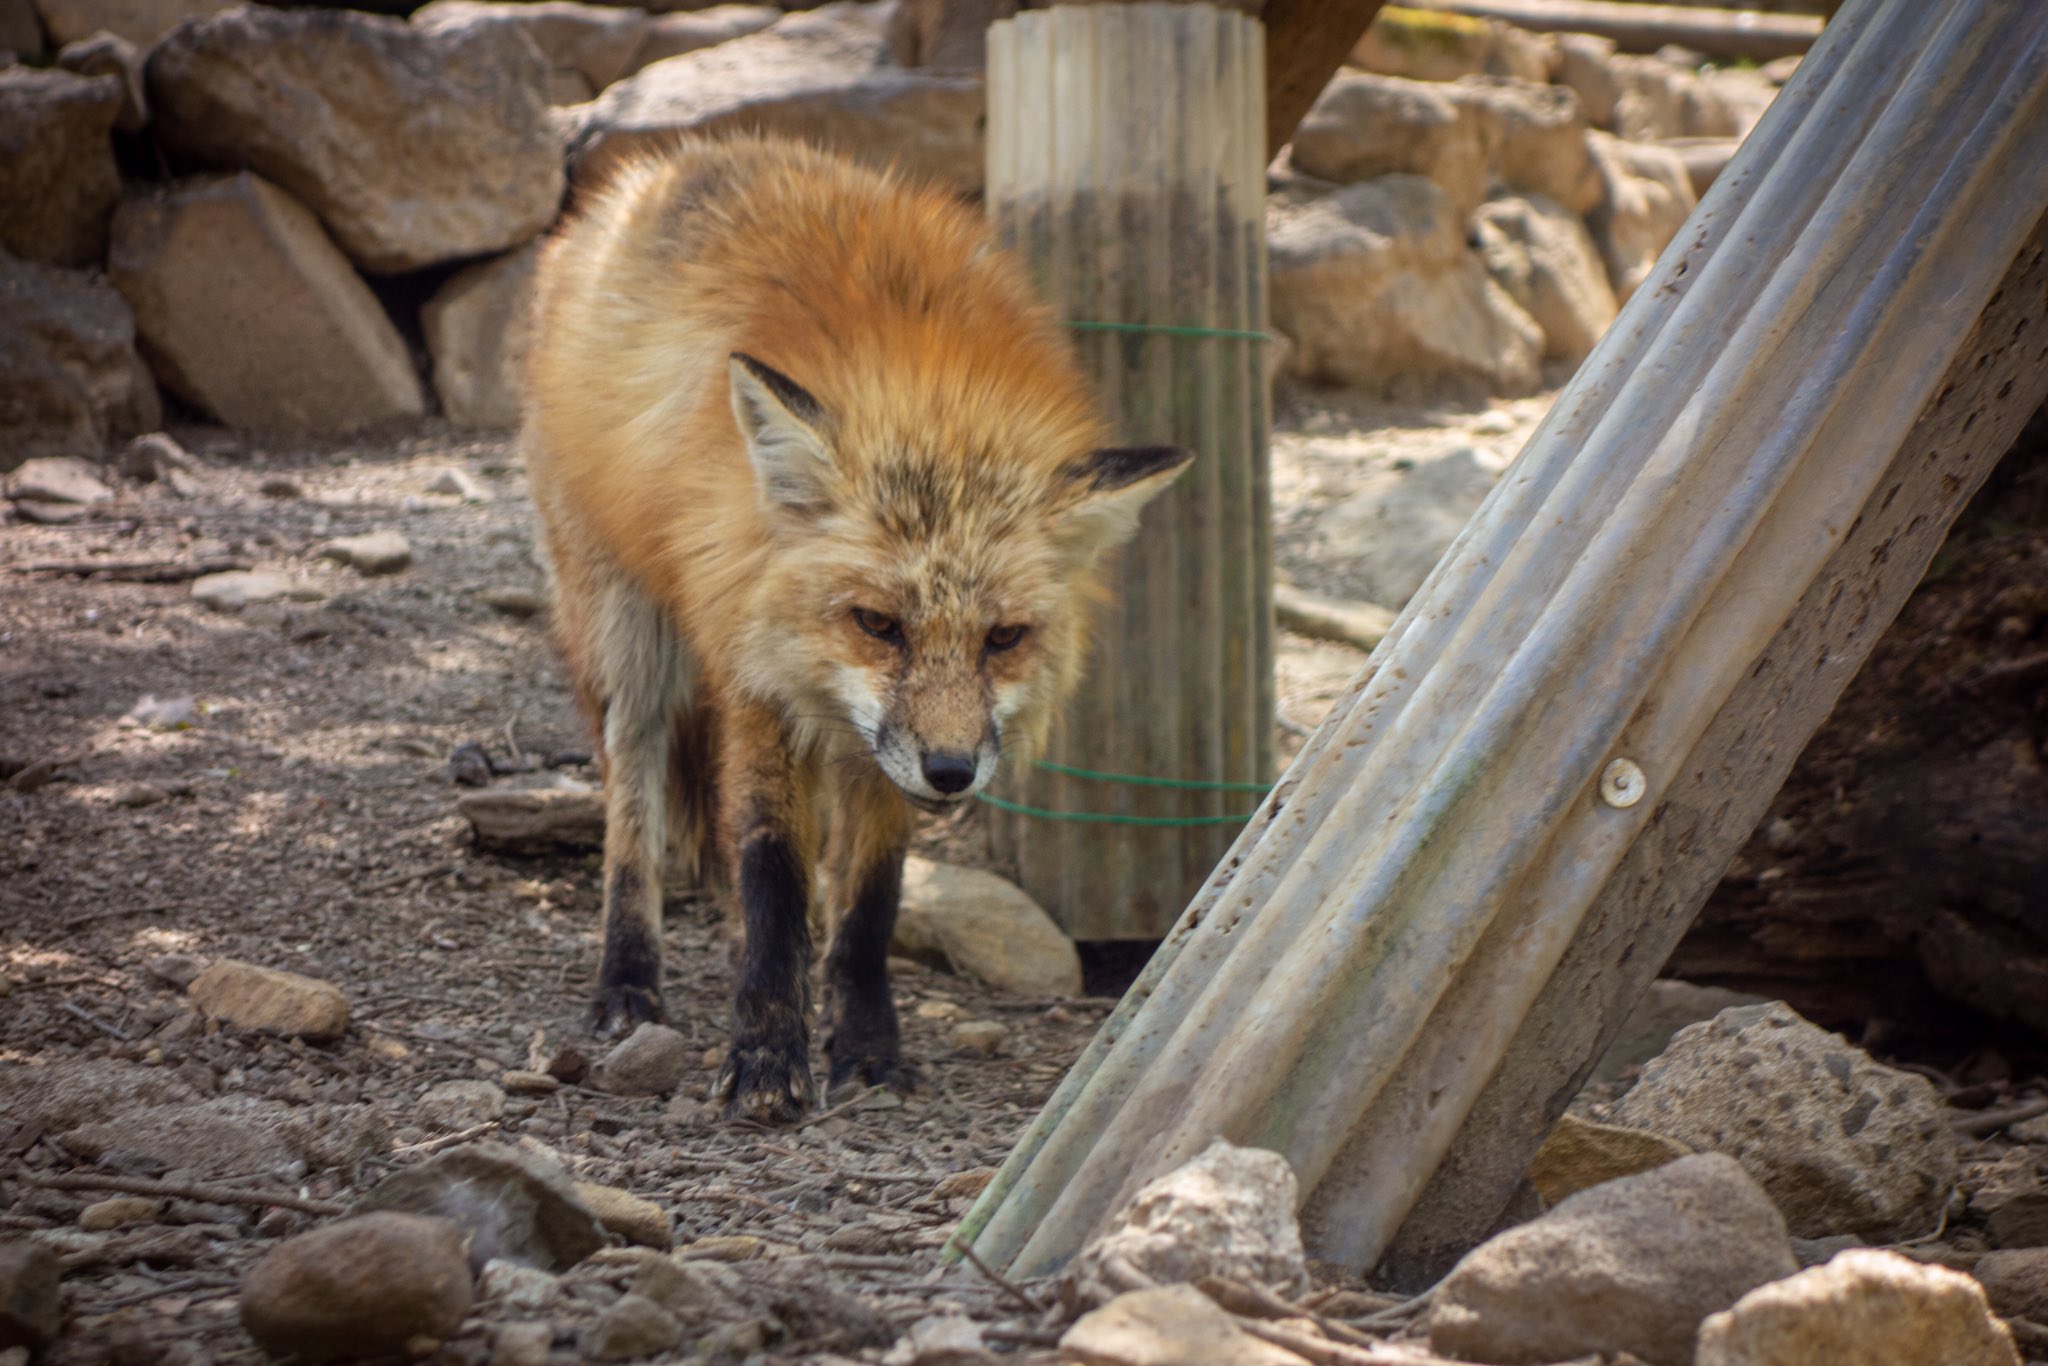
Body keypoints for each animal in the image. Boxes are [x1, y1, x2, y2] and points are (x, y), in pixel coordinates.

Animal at [524, 136, 1187, 1122]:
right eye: (878, 624)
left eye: (1003, 638)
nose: (952, 774)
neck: (927, 389)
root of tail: (673, 162)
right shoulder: (756, 679)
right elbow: (771, 868)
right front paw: (766, 1052)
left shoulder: (877, 747)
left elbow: (870, 896)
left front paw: (867, 1044)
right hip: (629, 633)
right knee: (634, 797)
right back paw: (628, 978)